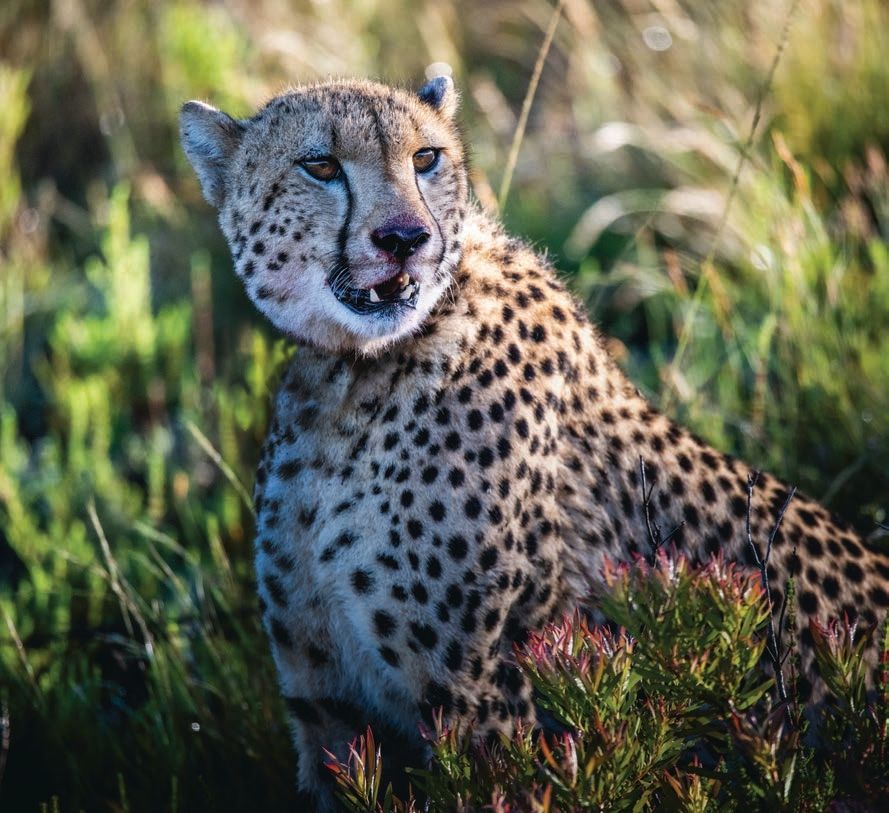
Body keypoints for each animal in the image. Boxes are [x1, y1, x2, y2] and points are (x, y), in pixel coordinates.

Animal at [180, 74, 889, 810]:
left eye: (425, 158)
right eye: (319, 166)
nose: (406, 237)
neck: (352, 380)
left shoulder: (484, 702)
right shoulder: (329, 710)